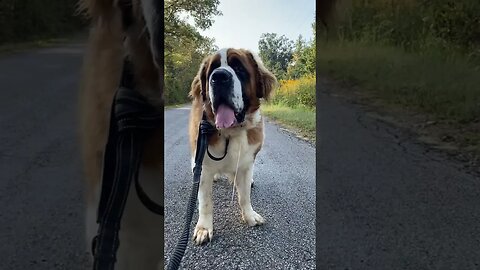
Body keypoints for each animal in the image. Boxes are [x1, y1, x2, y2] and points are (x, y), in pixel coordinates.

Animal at [188, 48, 278, 245]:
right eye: (212, 69)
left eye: (238, 67)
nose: (219, 77)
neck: (230, 133)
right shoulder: (203, 165)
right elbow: (205, 201)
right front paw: (204, 228)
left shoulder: (246, 164)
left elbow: (244, 195)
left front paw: (250, 216)